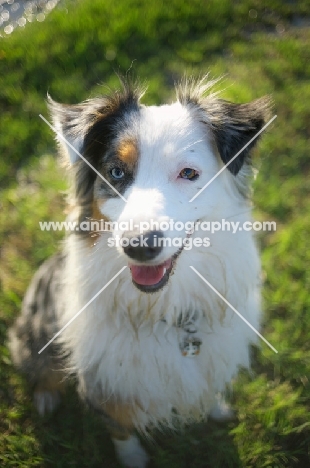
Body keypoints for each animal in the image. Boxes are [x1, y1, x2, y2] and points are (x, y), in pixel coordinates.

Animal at [8, 75, 272, 466]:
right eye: (117, 172)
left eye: (189, 173)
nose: (138, 245)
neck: (166, 309)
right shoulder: (105, 381)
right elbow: (120, 427)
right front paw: (133, 458)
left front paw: (217, 408)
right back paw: (45, 398)